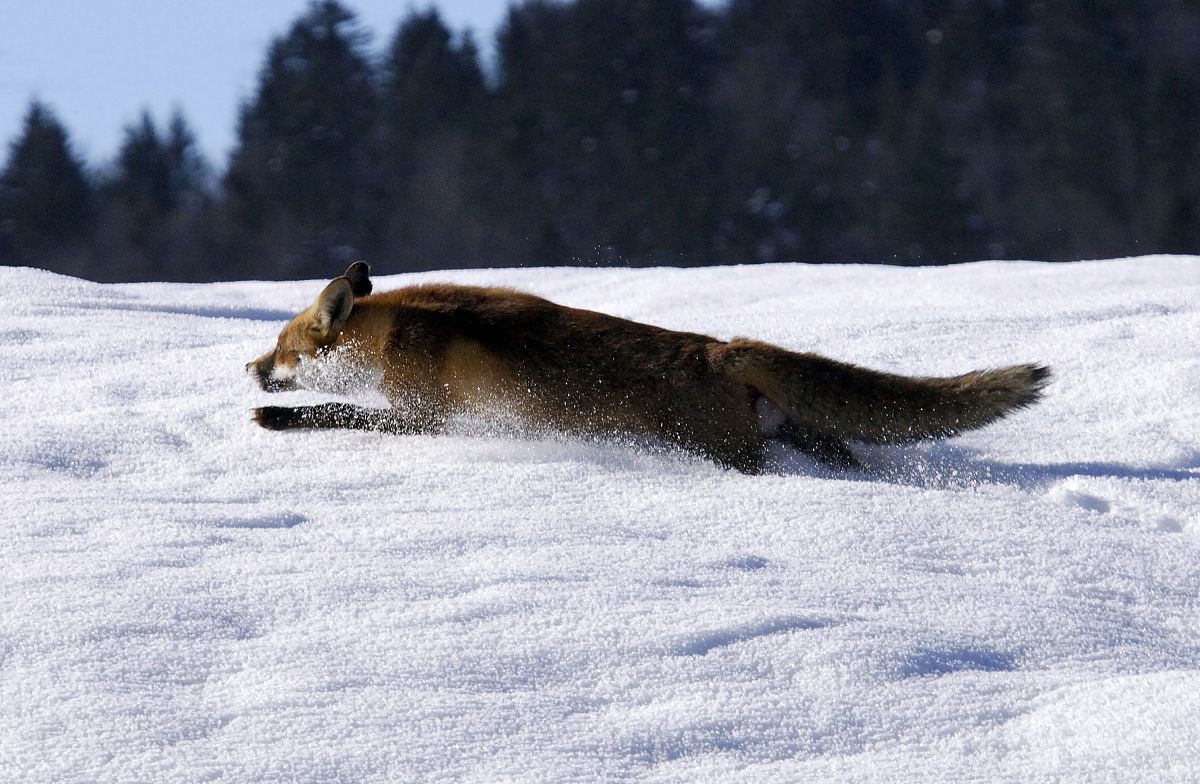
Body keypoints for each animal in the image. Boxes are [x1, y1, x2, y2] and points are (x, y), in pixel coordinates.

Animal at [247, 262, 1050, 473]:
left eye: (284, 352)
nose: (250, 367)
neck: (398, 330)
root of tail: (721, 347)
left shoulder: (426, 418)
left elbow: (334, 413)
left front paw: (276, 417)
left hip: (731, 454)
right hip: (803, 440)